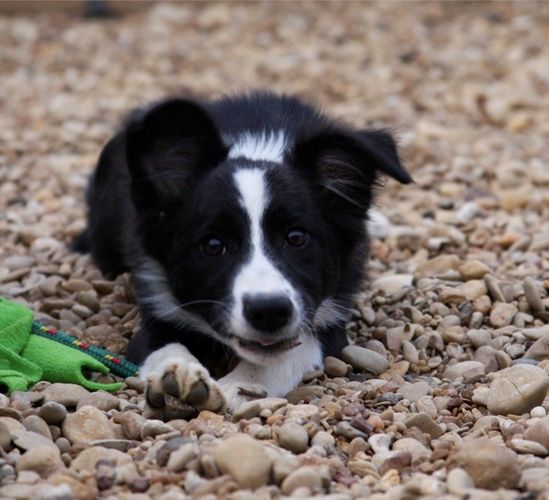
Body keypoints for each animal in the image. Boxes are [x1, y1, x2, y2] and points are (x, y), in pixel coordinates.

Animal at [76, 92, 412, 412]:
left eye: (296, 237)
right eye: (213, 246)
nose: (269, 311)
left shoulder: (332, 314)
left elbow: (288, 352)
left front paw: (238, 386)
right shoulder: (158, 307)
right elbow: (163, 345)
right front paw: (179, 374)